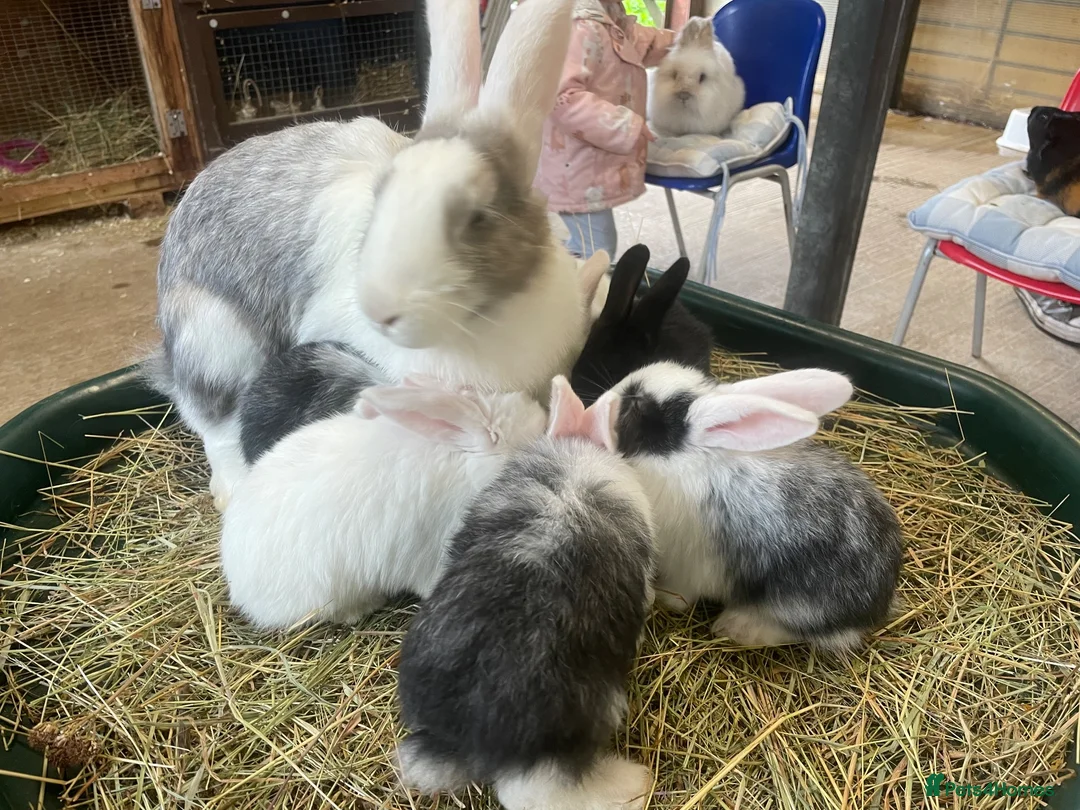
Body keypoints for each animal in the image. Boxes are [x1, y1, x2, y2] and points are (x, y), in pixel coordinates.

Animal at [608, 361, 903, 652]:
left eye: (638, 405)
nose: (615, 392)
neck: (684, 455)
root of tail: (876, 608)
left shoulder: (690, 566)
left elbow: (681, 594)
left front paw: (662, 597)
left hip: (796, 605)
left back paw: (733, 627)